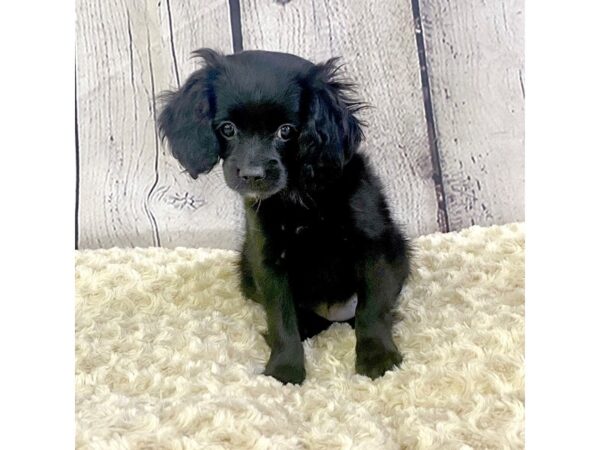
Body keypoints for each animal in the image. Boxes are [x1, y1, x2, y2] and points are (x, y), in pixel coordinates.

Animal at [159, 48, 410, 384]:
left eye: (286, 130)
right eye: (227, 128)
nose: (252, 175)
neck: (300, 196)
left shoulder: (374, 248)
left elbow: (372, 309)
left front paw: (377, 357)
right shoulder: (268, 261)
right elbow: (281, 319)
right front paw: (284, 370)